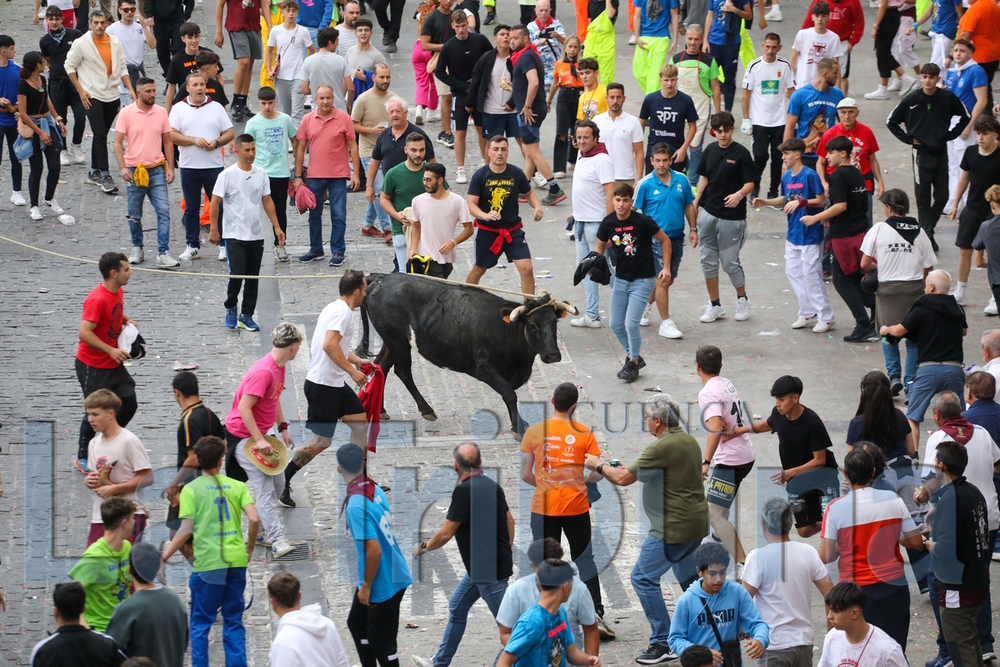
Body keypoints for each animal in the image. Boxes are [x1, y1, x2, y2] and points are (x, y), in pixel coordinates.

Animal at [358, 272, 580, 434]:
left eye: (554, 322)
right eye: (532, 325)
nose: (553, 355)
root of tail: (381, 277)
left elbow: (510, 394)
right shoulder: (485, 369)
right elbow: (509, 394)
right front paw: (518, 425)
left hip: (392, 341)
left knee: (382, 366)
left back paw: (382, 411)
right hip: (396, 340)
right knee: (402, 371)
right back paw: (427, 410)